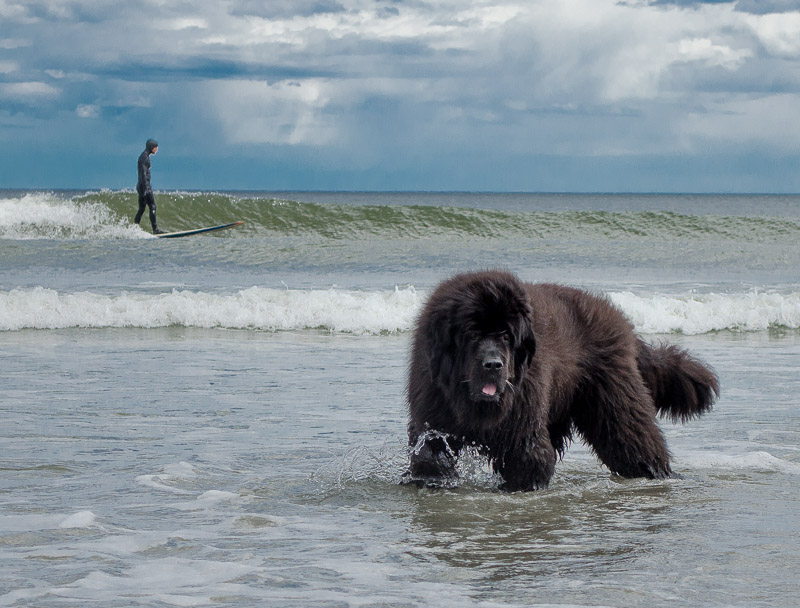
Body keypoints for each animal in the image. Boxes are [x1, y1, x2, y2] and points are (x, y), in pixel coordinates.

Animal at [406, 270, 720, 490]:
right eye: (472, 334)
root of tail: (622, 323)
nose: (494, 364)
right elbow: (430, 456)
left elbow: (528, 459)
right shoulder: (432, 417)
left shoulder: (523, 423)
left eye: (506, 335)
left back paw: (661, 476)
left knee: (637, 443)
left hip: (617, 405)